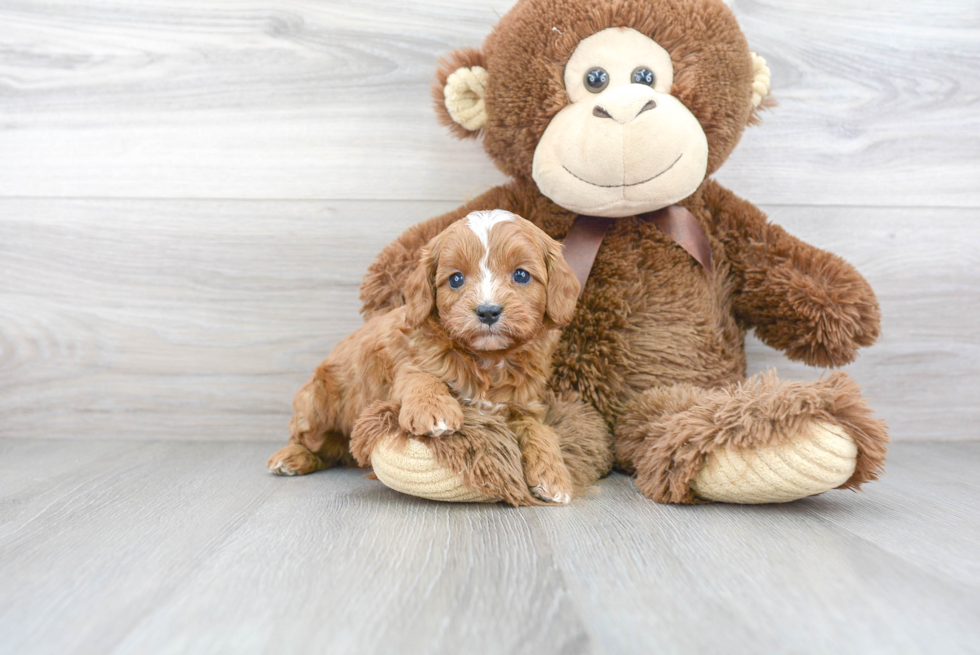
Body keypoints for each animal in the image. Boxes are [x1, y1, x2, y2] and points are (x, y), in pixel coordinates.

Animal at [266, 210, 580, 502]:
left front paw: (553, 475)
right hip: (316, 403)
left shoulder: (524, 404)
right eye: (456, 279)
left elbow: (539, 429)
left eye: (521, 275)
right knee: (308, 439)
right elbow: (421, 378)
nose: (488, 311)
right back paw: (291, 457)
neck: (488, 358)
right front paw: (434, 411)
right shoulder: (409, 362)